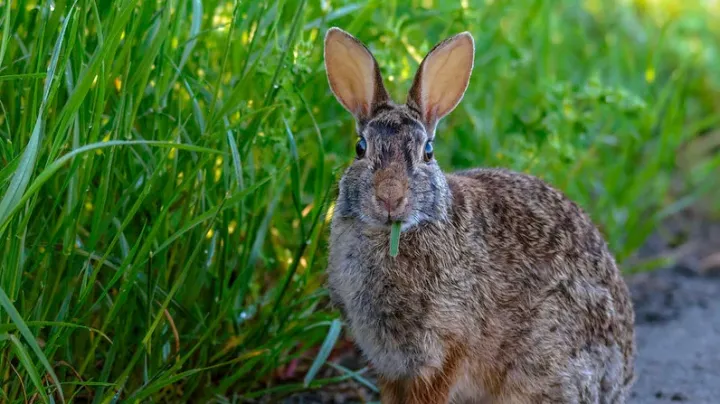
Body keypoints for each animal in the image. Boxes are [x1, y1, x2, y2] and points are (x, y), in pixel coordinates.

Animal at [322, 27, 635, 404]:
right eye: (360, 148)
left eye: (428, 152)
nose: (389, 196)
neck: (394, 234)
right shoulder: (388, 361)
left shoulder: (448, 344)